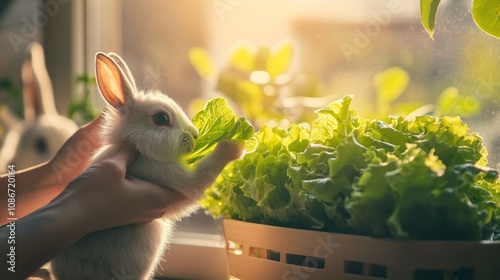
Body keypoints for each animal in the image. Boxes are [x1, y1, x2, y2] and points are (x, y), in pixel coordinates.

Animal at [49, 52, 245, 280]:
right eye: (161, 118)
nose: (196, 135)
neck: (141, 151)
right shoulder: (177, 181)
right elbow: (203, 174)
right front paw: (234, 147)